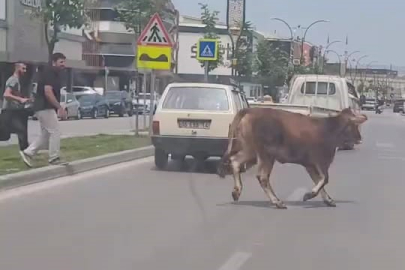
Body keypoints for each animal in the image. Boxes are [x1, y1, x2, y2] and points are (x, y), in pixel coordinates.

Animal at [218, 107, 366, 209]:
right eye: (354, 125)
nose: (359, 138)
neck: (330, 129)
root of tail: (250, 110)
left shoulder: (310, 165)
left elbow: (319, 181)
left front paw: (328, 200)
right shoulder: (320, 162)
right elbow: (324, 179)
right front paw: (309, 195)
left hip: (251, 150)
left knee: (235, 161)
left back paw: (236, 191)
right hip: (266, 155)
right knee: (262, 177)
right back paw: (277, 202)